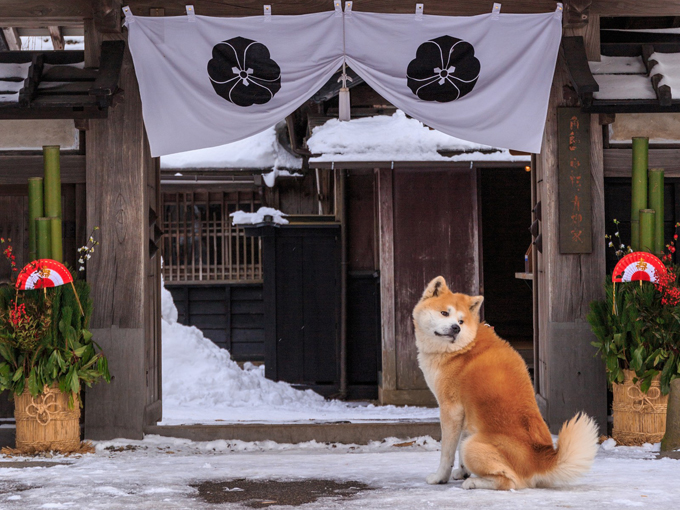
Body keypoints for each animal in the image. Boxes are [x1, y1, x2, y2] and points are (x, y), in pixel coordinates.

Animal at [412, 276, 596, 492]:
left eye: (461, 321)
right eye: (444, 313)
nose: (456, 328)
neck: (463, 348)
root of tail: (541, 461)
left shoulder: (451, 409)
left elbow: (447, 453)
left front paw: (441, 477)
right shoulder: (466, 412)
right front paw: (462, 471)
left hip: (473, 445)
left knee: (510, 482)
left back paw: (474, 482)